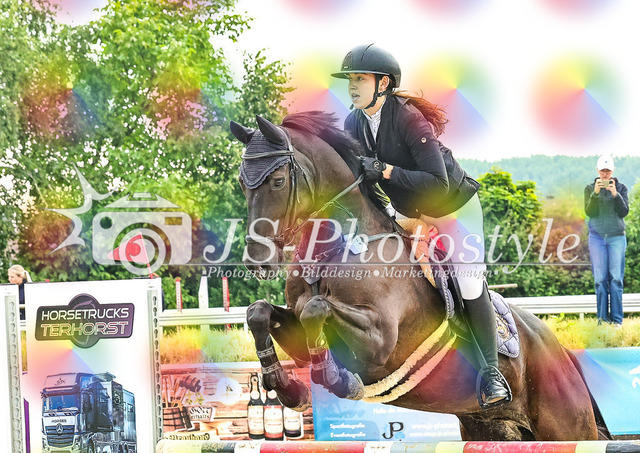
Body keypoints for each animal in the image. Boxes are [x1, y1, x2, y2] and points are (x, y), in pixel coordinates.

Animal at [229, 111, 611, 441]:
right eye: (242, 183)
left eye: (278, 181)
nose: (258, 262)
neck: (337, 250)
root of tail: (563, 353)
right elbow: (260, 312)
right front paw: (288, 388)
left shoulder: (380, 341)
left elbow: (316, 310)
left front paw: (335, 378)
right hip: (490, 427)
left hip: (567, 427)